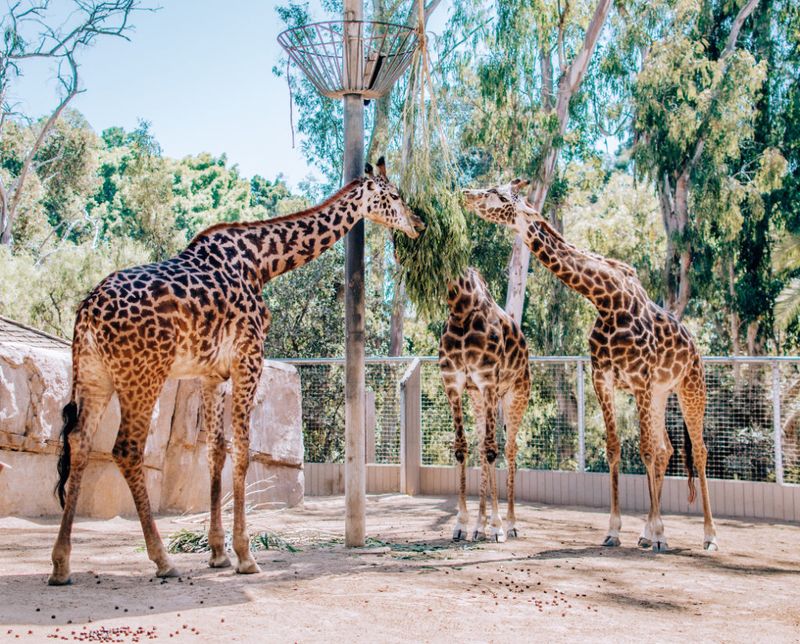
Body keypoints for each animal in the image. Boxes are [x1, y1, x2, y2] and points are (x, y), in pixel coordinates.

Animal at [48, 157, 424, 584]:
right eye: (395, 196)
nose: (419, 222)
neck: (263, 263)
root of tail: (87, 314)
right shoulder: (249, 358)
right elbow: (243, 452)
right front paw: (245, 555)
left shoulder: (211, 373)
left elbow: (216, 451)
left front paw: (217, 552)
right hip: (142, 375)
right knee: (125, 449)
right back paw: (163, 560)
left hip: (94, 375)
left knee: (79, 442)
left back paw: (61, 564)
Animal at [438, 266, 532, 544]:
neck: (461, 309)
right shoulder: (454, 384)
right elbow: (462, 447)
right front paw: (462, 525)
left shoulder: (489, 382)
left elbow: (493, 450)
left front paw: (498, 527)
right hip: (478, 399)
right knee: (481, 446)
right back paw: (480, 527)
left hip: (516, 395)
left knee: (510, 449)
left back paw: (510, 524)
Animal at [462, 179, 720, 552]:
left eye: (498, 194)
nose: (467, 194)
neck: (607, 299)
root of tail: (695, 344)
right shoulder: (604, 377)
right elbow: (615, 448)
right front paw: (615, 531)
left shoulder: (639, 378)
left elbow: (642, 450)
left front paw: (659, 534)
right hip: (660, 393)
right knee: (666, 449)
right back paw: (647, 533)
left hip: (690, 386)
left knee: (697, 450)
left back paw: (708, 536)